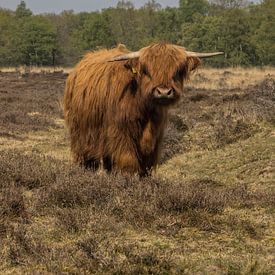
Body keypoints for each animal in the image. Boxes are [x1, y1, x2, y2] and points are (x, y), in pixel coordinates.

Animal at [63, 43, 223, 177]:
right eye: (147, 70)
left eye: (177, 70)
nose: (164, 92)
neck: (145, 109)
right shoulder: (121, 132)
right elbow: (127, 159)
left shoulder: (155, 135)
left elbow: (147, 164)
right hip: (82, 132)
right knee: (87, 156)